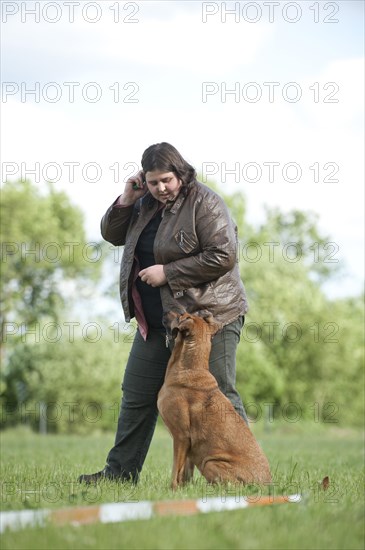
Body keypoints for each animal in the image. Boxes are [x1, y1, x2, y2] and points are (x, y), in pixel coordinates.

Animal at [156, 312, 270, 490]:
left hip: (210, 463)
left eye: (182, 315)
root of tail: (267, 485)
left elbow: (176, 470)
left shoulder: (181, 436)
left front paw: (172, 490)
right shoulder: (189, 444)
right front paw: (184, 490)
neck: (191, 367)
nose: (167, 312)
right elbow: (184, 471)